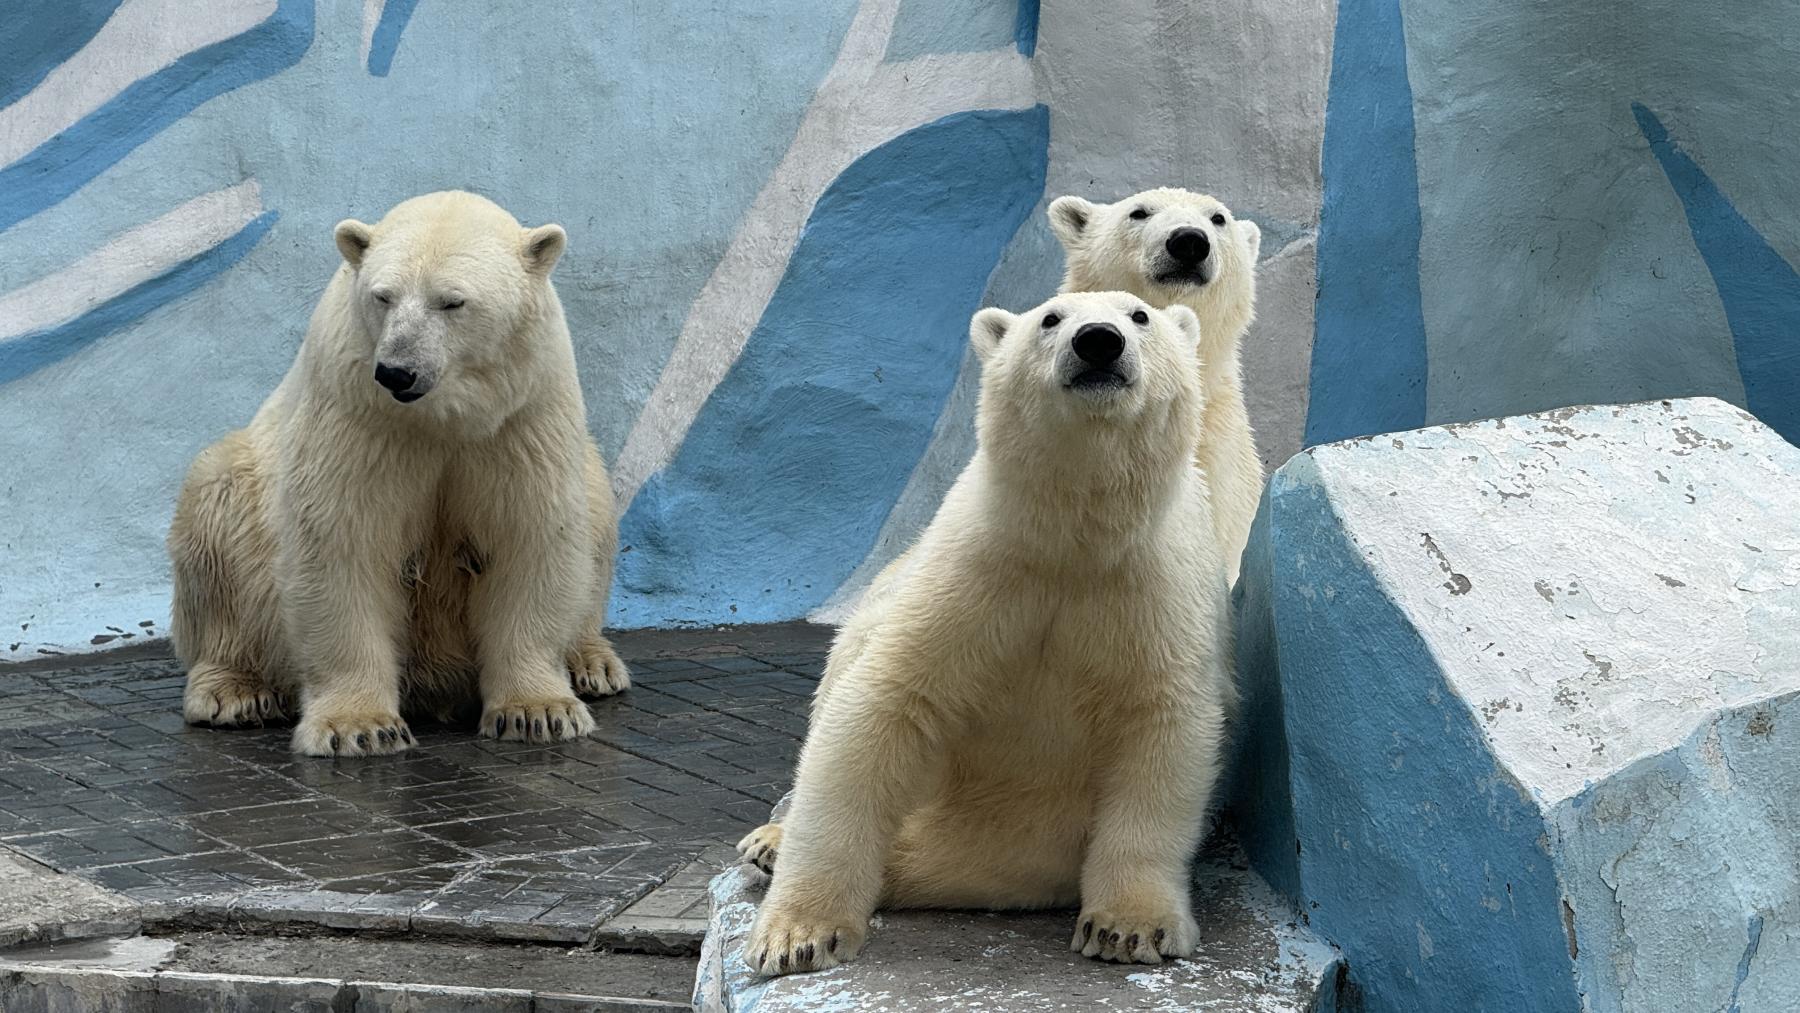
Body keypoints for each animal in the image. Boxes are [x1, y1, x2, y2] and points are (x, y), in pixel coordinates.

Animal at [169, 194, 630, 755]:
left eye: (452, 302)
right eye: (383, 296)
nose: (396, 371)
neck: (440, 417)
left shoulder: (522, 416)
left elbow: (529, 537)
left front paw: (538, 710)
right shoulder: (360, 416)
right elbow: (343, 545)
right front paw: (360, 726)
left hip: (583, 468)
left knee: (598, 509)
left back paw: (593, 663)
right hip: (245, 492)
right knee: (215, 519)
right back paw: (235, 691)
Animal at [738, 291, 1231, 971]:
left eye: (1140, 316)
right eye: (1050, 319)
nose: (1098, 341)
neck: (1075, 538)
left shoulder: (1155, 589)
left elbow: (1160, 727)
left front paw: (1130, 930)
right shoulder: (977, 571)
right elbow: (882, 706)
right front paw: (797, 935)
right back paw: (770, 842)